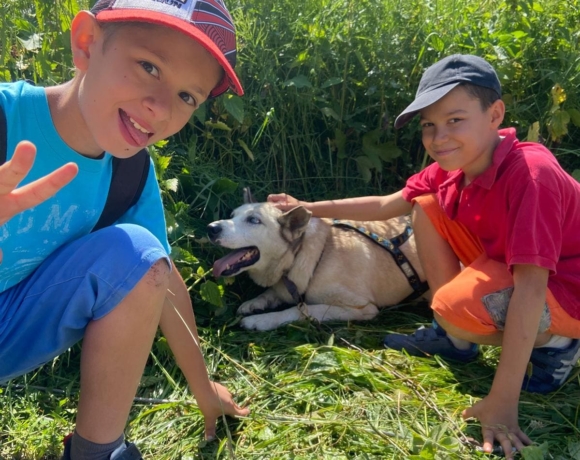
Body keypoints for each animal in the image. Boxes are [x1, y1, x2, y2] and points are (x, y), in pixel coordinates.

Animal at [208, 189, 426, 332]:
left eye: (254, 220)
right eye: (232, 215)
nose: (211, 228)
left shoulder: (361, 308)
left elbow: (299, 310)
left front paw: (261, 320)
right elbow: (271, 293)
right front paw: (254, 303)